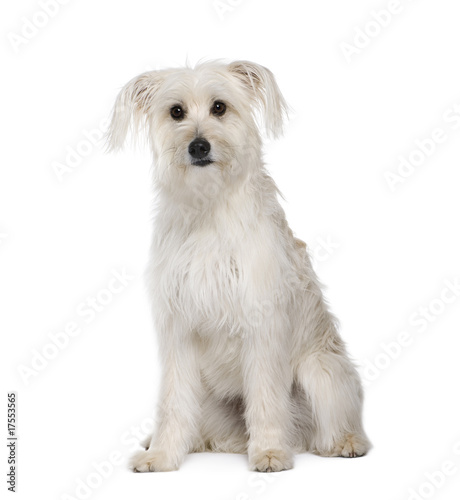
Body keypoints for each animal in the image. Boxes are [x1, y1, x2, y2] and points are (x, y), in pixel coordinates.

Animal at [107, 60, 370, 470]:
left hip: (321, 372)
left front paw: (270, 451)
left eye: (219, 107)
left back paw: (343, 442)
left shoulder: (262, 326)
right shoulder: (178, 331)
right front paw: (163, 454)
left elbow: (265, 397)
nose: (198, 146)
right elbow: (172, 402)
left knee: (330, 424)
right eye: (176, 111)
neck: (209, 206)